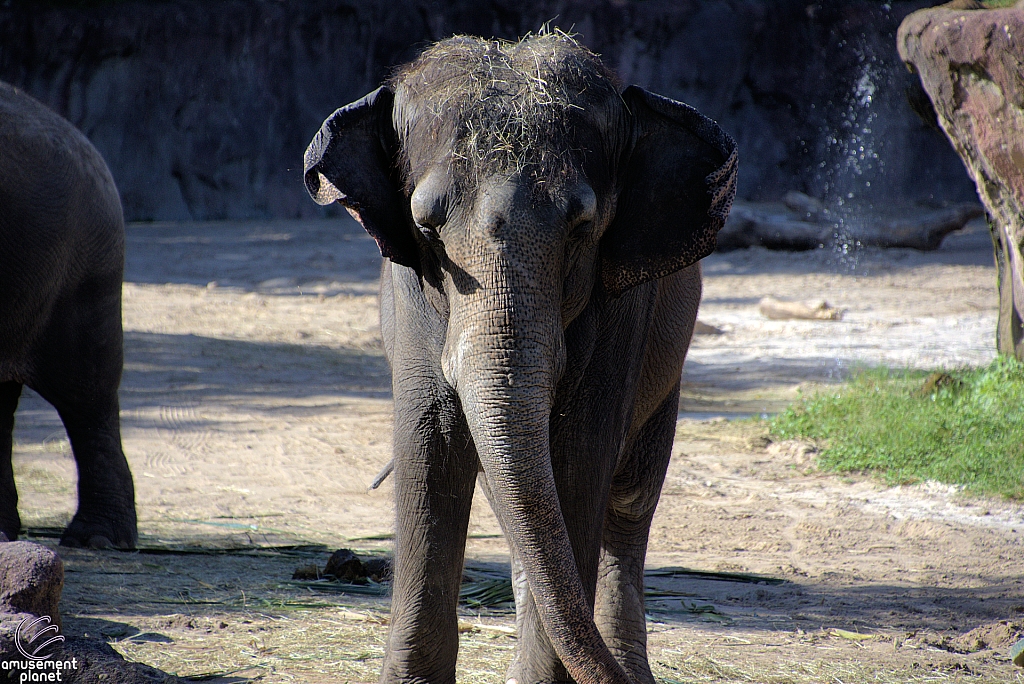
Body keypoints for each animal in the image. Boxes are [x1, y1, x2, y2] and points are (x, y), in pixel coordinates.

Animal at [301, 33, 737, 684]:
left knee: (627, 504)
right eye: (426, 227)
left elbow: (580, 459)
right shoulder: (413, 304)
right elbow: (429, 449)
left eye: (582, 227)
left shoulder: (622, 315)